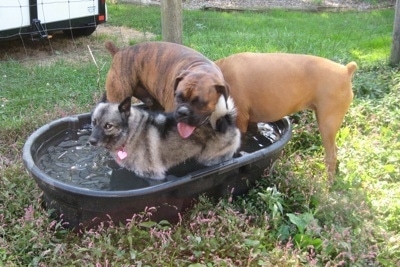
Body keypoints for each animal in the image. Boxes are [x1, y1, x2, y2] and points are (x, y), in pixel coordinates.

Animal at [89, 95, 241, 181]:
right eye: (94, 122)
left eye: (108, 126)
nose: (91, 141)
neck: (132, 133)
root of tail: (224, 120)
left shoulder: (153, 175)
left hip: (211, 159)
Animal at [214, 52, 358, 180]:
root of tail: (345, 69)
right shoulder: (250, 122)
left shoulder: (241, 121)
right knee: (335, 149)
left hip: (327, 124)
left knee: (331, 156)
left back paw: (328, 184)